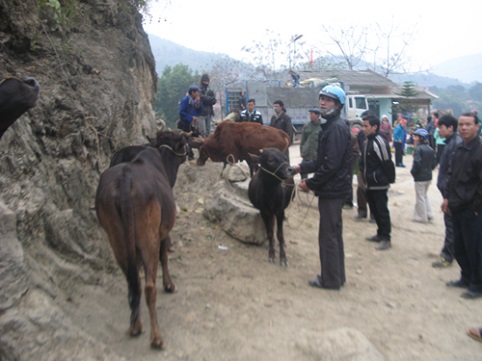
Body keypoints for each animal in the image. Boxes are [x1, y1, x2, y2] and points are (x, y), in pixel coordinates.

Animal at [95, 130, 189, 348]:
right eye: (182, 143)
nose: (191, 154)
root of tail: (125, 180)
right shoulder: (161, 232)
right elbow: (164, 256)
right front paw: (169, 284)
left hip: (117, 240)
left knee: (133, 281)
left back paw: (135, 326)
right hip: (148, 238)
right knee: (148, 286)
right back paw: (156, 337)